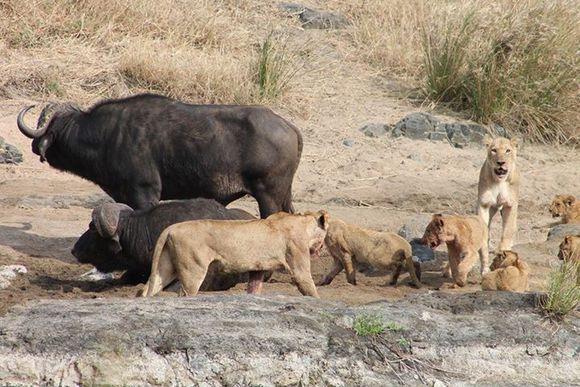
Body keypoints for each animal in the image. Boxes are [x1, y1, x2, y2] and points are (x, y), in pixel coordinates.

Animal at [15, 93, 302, 217]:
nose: (35, 145)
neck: (107, 135)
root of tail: (288, 126)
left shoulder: (145, 193)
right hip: (282, 195)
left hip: (268, 195)